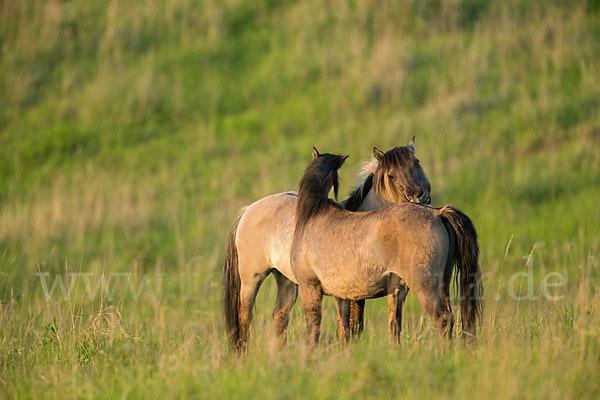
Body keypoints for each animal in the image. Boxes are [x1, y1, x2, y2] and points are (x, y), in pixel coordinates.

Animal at [221, 138, 432, 350]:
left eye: (417, 161)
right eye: (391, 176)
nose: (419, 196)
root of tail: (248, 210)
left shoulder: (397, 289)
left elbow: (393, 325)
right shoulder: (349, 294)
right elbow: (350, 327)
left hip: (285, 280)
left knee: (280, 315)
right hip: (252, 279)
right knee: (244, 316)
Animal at [288, 148, 480, 348]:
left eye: (416, 162)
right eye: (391, 175)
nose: (419, 196)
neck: (313, 214)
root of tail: (437, 213)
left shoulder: (310, 288)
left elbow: (315, 329)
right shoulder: (343, 295)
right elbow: (347, 329)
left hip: (425, 286)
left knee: (443, 319)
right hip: (442, 284)